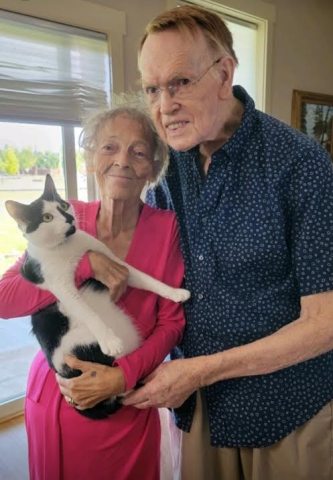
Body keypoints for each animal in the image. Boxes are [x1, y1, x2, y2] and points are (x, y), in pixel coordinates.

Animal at [4, 174, 189, 418]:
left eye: (63, 205)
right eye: (47, 217)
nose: (69, 218)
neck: (68, 247)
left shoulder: (116, 263)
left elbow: (146, 278)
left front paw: (176, 292)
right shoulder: (61, 286)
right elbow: (87, 312)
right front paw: (109, 340)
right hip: (78, 348)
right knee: (123, 388)